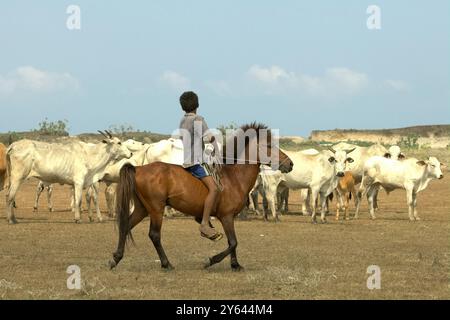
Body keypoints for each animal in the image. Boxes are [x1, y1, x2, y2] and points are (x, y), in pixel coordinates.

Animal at [108, 124, 292, 272]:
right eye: (269, 145)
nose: (290, 164)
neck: (234, 177)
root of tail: (138, 168)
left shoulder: (229, 218)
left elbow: (232, 242)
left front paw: (235, 265)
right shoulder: (226, 217)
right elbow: (233, 242)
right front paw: (211, 260)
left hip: (142, 208)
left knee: (125, 226)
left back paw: (116, 258)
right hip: (156, 209)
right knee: (154, 235)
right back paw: (166, 263)